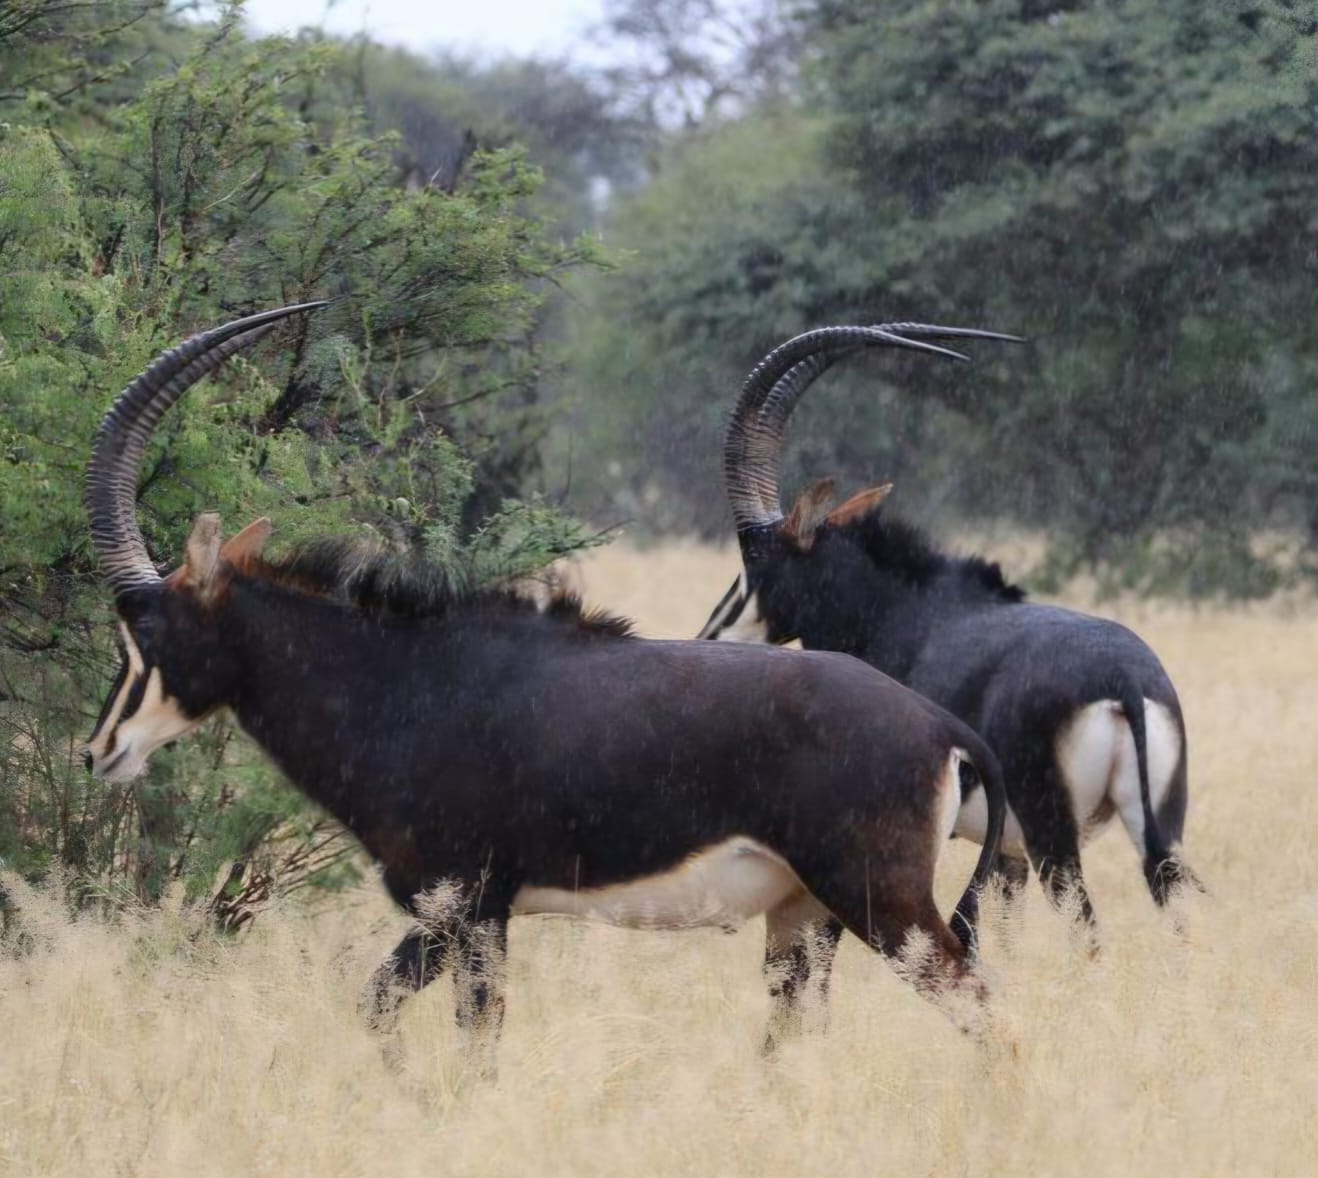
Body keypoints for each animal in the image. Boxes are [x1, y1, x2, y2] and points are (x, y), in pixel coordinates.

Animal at [83, 305, 1009, 1068]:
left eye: (148, 631)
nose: (99, 752)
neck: (397, 682)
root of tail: (942, 727)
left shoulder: (469, 906)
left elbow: (474, 1039)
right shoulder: (450, 914)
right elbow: (379, 1008)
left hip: (883, 906)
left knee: (988, 1013)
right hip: (803, 918)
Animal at [699, 323, 1199, 937]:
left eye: (757, 560)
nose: (711, 637)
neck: (903, 609)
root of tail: (1124, 679)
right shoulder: (1006, 852)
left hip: (1053, 836)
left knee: (1084, 925)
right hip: (1157, 834)